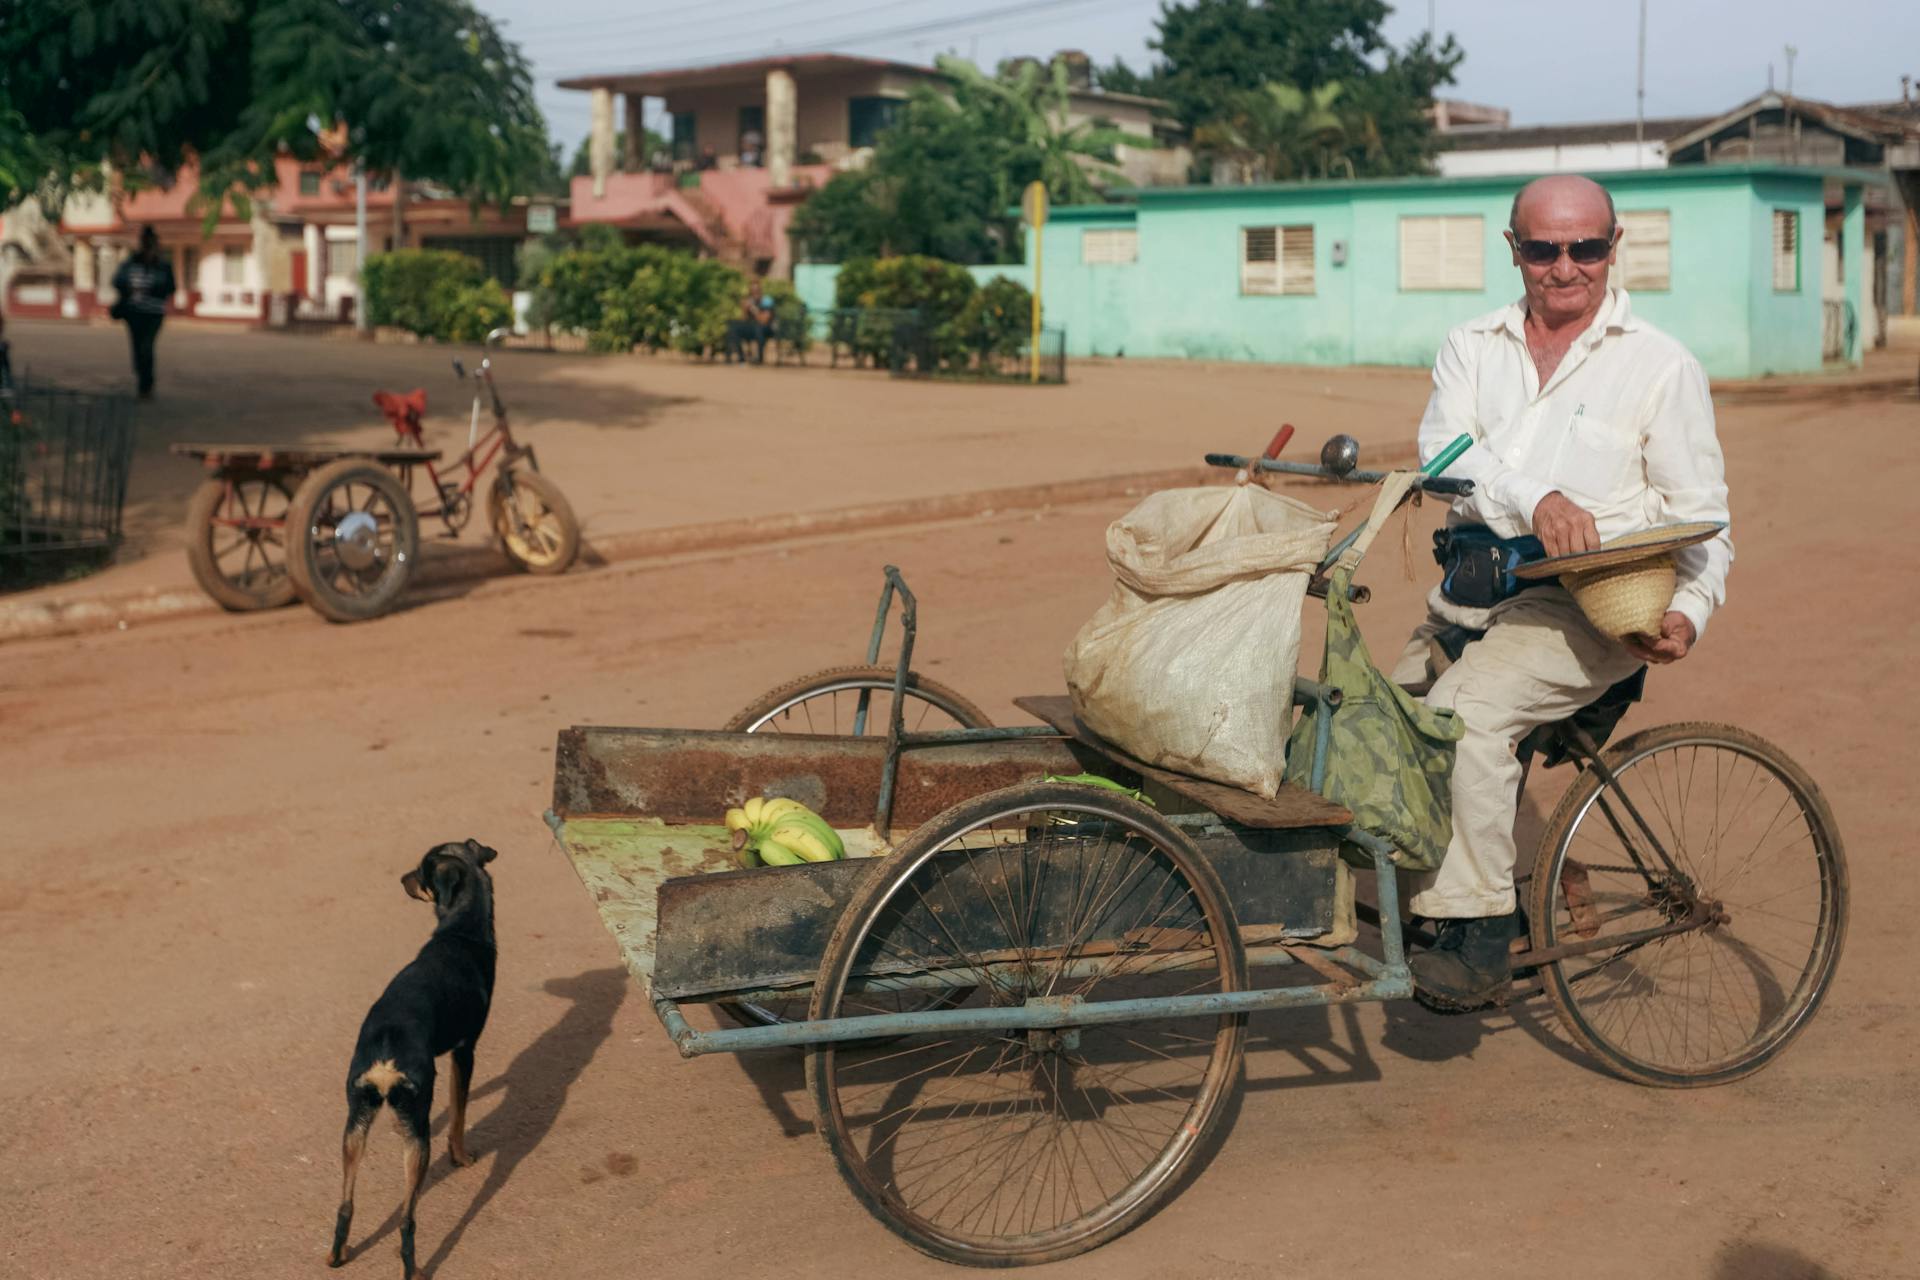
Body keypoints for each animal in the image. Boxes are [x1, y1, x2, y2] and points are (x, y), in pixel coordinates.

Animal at [330, 840, 499, 1280]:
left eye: (420, 873)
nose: (401, 878)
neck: (460, 930)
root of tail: (386, 1052)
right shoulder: (464, 1052)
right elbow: (457, 1114)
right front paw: (460, 1157)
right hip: (416, 1136)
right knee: (407, 1219)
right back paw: (414, 1269)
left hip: (355, 1127)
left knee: (345, 1204)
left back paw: (337, 1255)